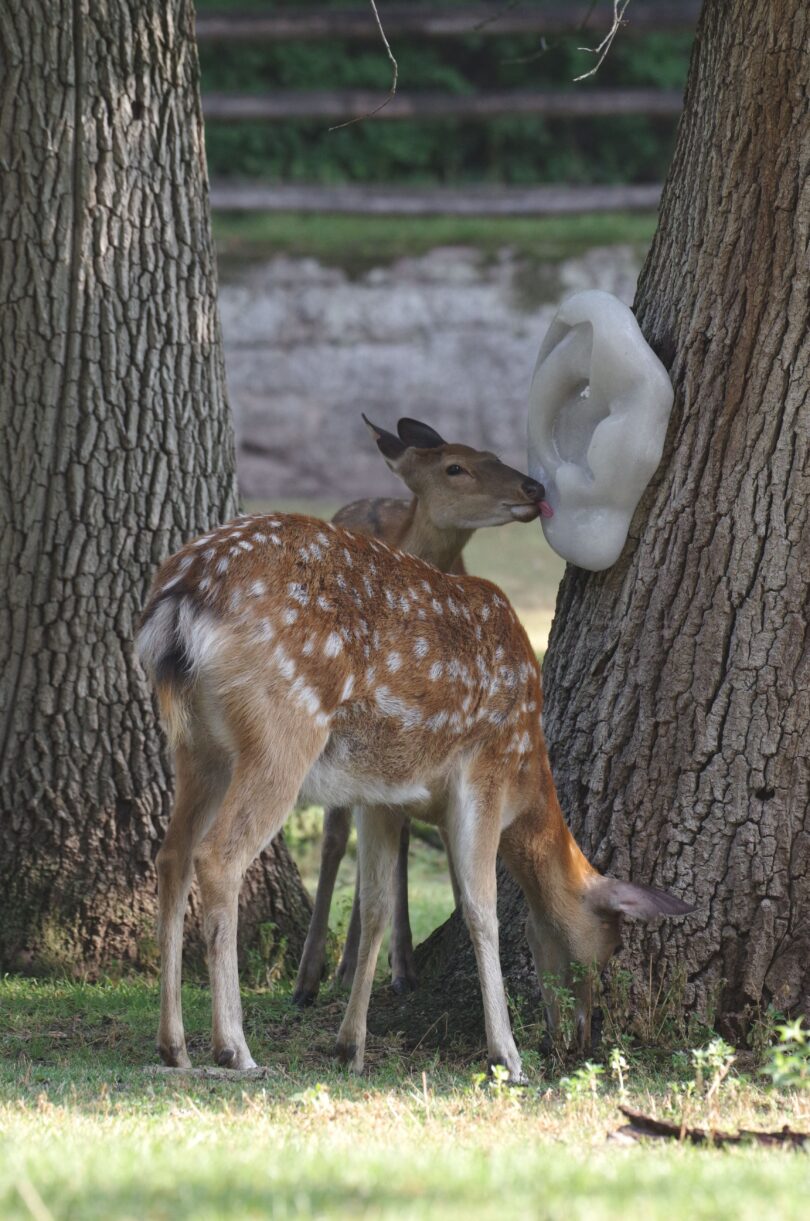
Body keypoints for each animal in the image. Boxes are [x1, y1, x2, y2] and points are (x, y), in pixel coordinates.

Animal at [138, 512, 689, 1079]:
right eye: (607, 948)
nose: (579, 1037)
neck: (527, 770)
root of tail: (181, 595)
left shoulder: (381, 796)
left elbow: (377, 907)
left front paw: (351, 1046)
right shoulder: (485, 768)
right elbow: (479, 907)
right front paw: (507, 1055)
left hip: (198, 746)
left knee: (172, 856)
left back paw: (173, 1045)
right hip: (282, 728)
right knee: (217, 856)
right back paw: (235, 1048)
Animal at [291, 415, 552, 1006]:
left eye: (492, 452)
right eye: (455, 467)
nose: (533, 487)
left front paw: (402, 964)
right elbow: (341, 835)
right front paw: (310, 976)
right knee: (340, 834)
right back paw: (328, 969)